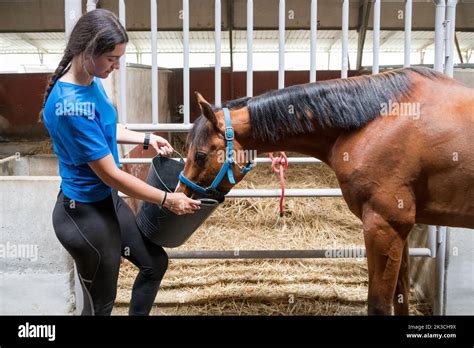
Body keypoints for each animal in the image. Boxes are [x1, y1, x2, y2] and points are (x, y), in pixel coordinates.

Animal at [177, 68, 474, 316]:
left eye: (200, 155)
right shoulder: (400, 229)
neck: (374, 123)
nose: (182, 195)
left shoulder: (384, 225)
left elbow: (378, 304)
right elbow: (400, 297)